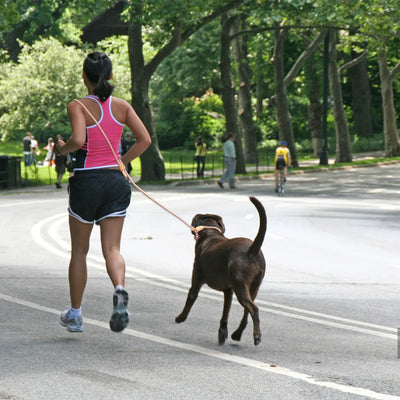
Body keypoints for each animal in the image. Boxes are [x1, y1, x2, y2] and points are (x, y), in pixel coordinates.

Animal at [175, 196, 266, 344]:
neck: (211, 234)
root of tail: (252, 250)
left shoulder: (196, 281)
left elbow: (191, 297)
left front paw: (180, 318)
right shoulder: (228, 290)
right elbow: (225, 312)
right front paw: (222, 332)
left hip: (241, 287)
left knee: (254, 309)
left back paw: (257, 336)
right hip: (253, 287)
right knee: (247, 312)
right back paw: (237, 334)